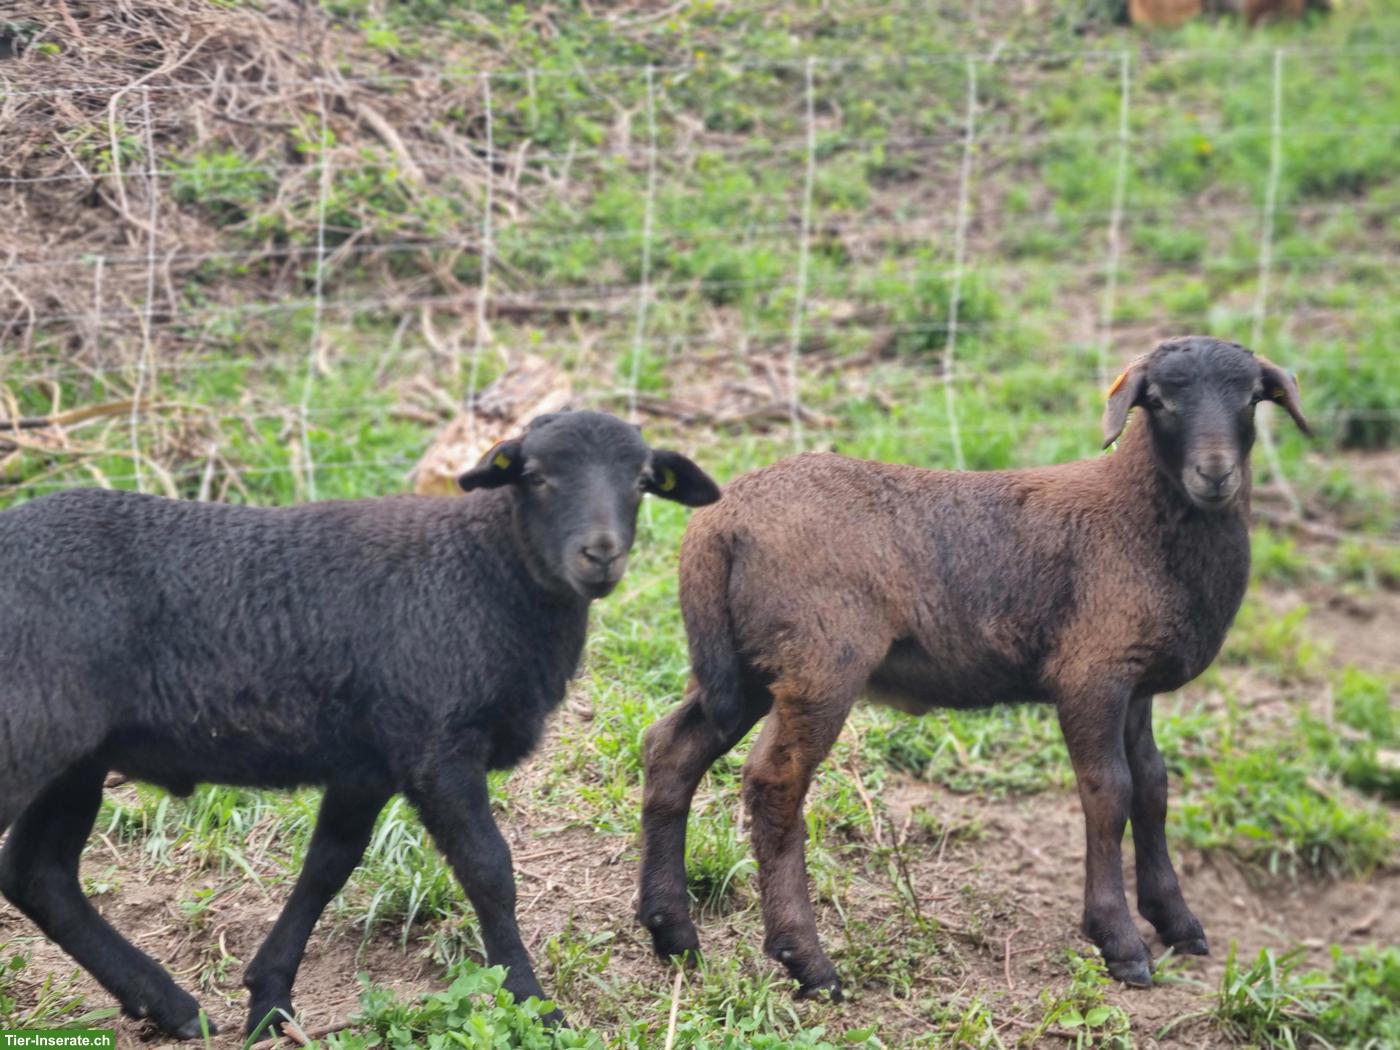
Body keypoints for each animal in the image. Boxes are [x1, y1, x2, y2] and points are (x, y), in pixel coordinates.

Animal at [0, 409, 719, 1040]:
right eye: (536, 476)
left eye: (641, 481)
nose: (600, 554)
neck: (483, 571)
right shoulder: (437, 746)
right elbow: (489, 870)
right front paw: (532, 1004)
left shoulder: (368, 760)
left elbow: (328, 866)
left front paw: (269, 999)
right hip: (31, 732)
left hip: (74, 756)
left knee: (40, 876)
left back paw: (170, 1007)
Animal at [636, 336, 1310, 998]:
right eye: (1162, 401)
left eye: (1251, 398)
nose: (1215, 473)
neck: (1137, 520)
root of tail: (719, 522)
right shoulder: (1091, 674)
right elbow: (1108, 790)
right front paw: (1118, 941)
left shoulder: (1136, 683)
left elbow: (1153, 785)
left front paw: (1175, 920)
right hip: (820, 660)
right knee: (775, 782)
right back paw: (806, 960)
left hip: (746, 664)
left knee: (672, 749)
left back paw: (672, 931)